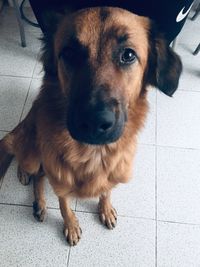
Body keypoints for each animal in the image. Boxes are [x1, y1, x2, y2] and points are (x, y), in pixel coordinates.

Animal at [0, 7, 181, 247]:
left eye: (128, 55)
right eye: (69, 53)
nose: (94, 122)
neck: (94, 153)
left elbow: (106, 191)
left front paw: (105, 208)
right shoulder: (60, 181)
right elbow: (64, 205)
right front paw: (71, 225)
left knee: (40, 173)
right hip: (31, 154)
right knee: (32, 168)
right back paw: (28, 181)